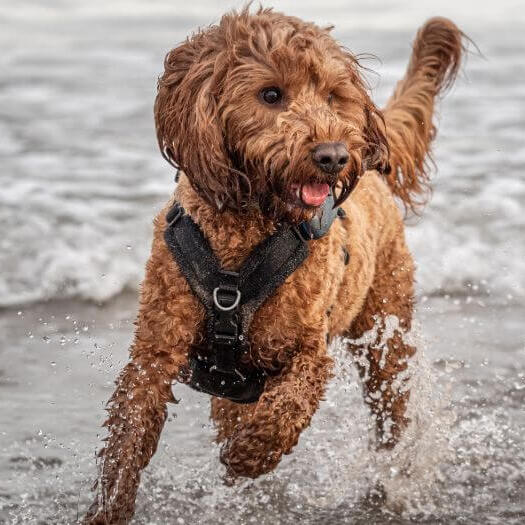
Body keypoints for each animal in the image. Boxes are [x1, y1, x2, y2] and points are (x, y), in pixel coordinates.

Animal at [85, 8, 462, 524]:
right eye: (270, 95)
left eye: (332, 96)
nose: (333, 156)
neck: (242, 234)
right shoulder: (155, 351)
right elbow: (128, 435)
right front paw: (108, 506)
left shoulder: (308, 352)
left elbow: (286, 409)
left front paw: (249, 456)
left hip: (385, 330)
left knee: (390, 404)